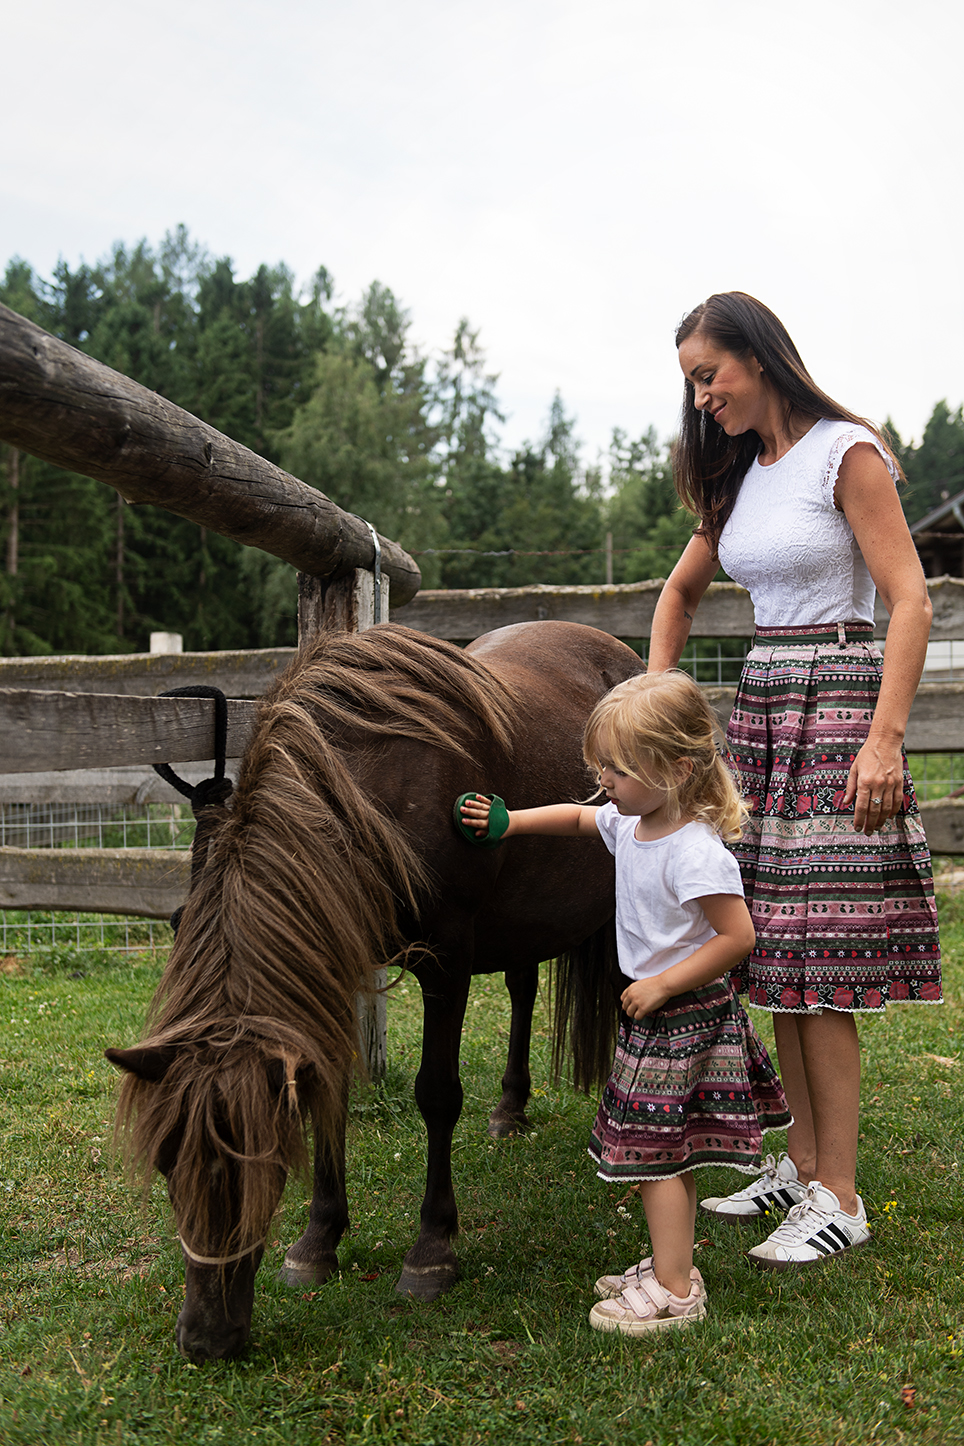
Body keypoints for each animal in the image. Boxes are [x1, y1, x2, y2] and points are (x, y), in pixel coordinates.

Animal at [106, 619, 644, 1361]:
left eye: (263, 1160)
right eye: (164, 1165)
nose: (204, 1338)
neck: (365, 790)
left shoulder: (446, 960)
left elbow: (437, 1095)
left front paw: (431, 1251)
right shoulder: (341, 954)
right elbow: (328, 1087)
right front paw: (318, 1240)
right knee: (522, 983)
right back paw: (510, 1109)